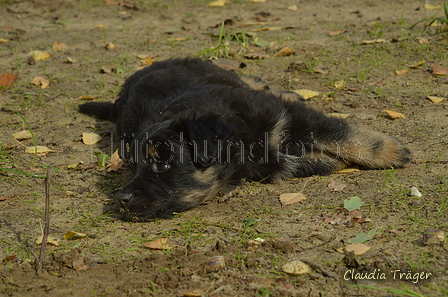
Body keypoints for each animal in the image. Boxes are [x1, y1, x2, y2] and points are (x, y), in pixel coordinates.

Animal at [79, 57, 410, 220]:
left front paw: (392, 151)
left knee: (253, 81)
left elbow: (339, 131)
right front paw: (331, 161)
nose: (120, 200)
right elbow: (300, 160)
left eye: (162, 163)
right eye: (133, 165)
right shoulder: (271, 166)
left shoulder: (288, 116)